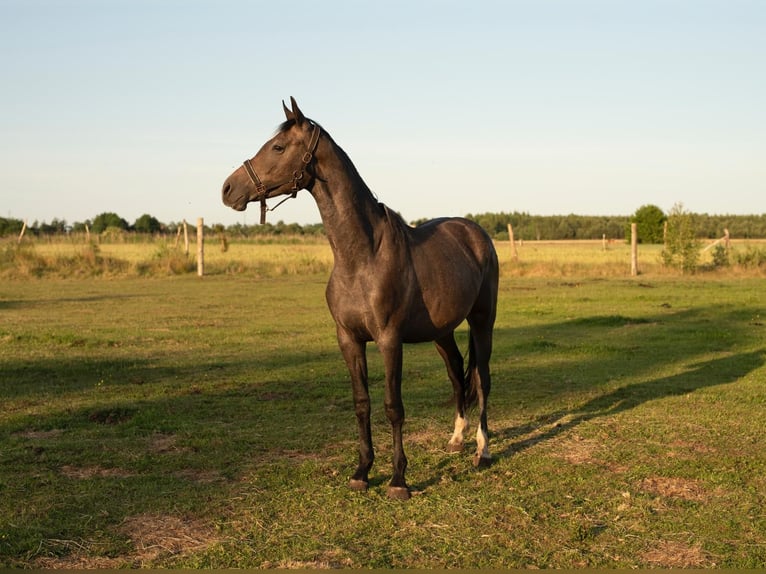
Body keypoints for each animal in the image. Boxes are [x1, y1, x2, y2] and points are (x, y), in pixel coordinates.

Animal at [222, 98, 498, 500]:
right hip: (442, 333)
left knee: (483, 378)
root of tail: (475, 233)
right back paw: (456, 439)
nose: (228, 189)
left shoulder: (389, 340)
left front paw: (398, 480)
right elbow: (362, 403)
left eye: (278, 147)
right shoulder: (349, 340)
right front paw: (362, 471)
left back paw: (482, 450)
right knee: (457, 375)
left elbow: (393, 406)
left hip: (482, 321)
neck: (362, 256)